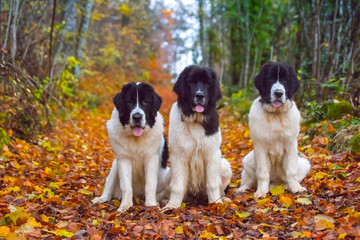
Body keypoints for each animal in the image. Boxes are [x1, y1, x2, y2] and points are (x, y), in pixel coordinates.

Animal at [91, 82, 170, 212]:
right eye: (129, 102)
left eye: (145, 102)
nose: (137, 116)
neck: (136, 139)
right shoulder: (123, 159)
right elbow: (126, 185)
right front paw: (125, 206)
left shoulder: (151, 157)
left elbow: (150, 183)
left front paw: (151, 205)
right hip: (114, 167)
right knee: (108, 188)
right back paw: (101, 199)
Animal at [162, 64, 232, 209]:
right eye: (192, 82)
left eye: (207, 83)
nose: (200, 95)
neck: (195, 120)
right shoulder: (178, 156)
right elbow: (177, 186)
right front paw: (172, 205)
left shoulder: (212, 154)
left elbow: (212, 184)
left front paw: (216, 204)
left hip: (224, 164)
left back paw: (223, 199)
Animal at [236, 62, 310, 199]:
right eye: (270, 79)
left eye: (285, 80)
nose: (279, 93)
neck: (276, 115)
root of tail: (274, 183)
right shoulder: (260, 147)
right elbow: (262, 173)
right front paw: (261, 192)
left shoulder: (291, 145)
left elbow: (291, 171)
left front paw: (296, 188)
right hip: (247, 160)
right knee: (249, 180)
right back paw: (243, 189)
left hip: (305, 164)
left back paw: (286, 186)